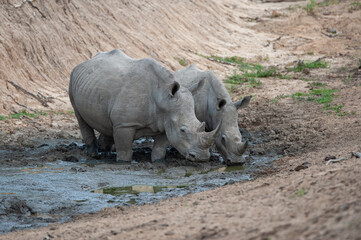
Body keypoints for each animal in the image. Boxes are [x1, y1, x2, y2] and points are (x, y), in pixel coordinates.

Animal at [67, 50, 219, 163]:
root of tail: (85, 61)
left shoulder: (167, 122)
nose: (202, 157)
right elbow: (125, 152)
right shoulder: (124, 125)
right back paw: (93, 155)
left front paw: (158, 162)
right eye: (182, 130)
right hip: (73, 78)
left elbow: (159, 149)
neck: (164, 99)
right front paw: (123, 162)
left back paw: (105, 152)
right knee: (80, 117)